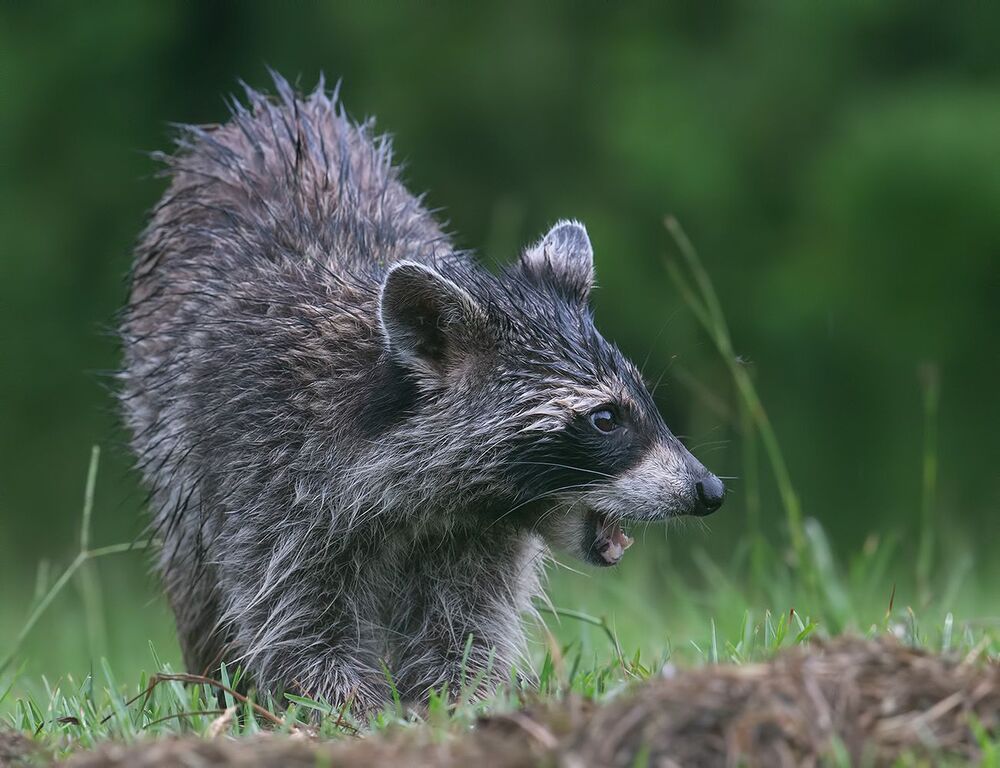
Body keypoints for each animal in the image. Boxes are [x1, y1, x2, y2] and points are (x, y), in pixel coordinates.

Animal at [120, 74, 724, 716]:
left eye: (640, 401)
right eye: (606, 418)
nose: (709, 490)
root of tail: (279, 109)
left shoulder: (479, 534)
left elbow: (465, 627)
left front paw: (460, 700)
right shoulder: (265, 477)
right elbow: (293, 623)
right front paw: (353, 711)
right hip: (171, 447)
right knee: (196, 574)